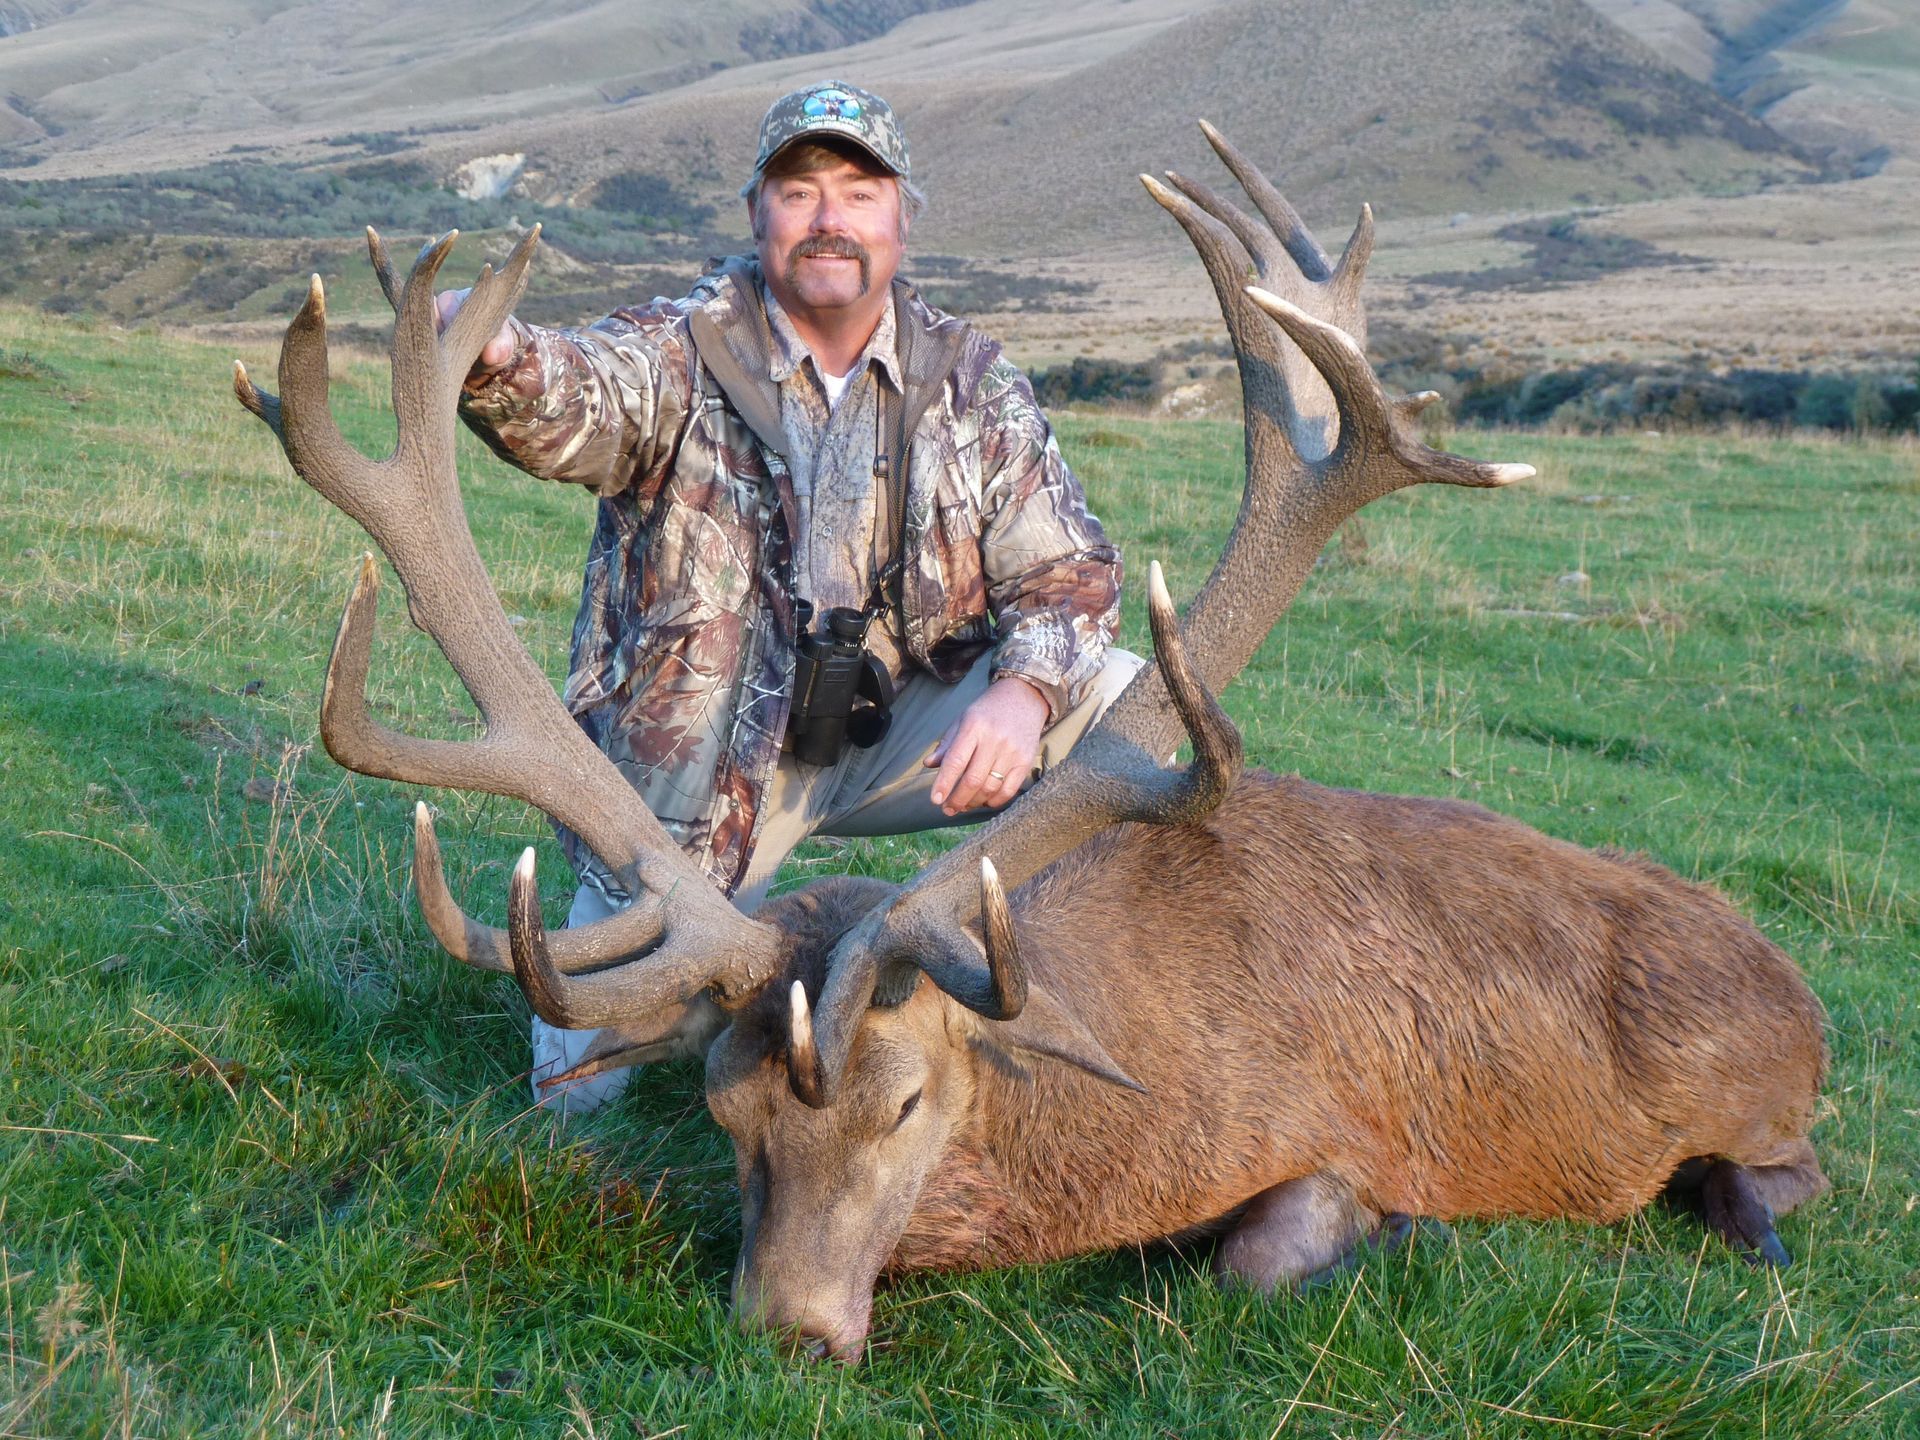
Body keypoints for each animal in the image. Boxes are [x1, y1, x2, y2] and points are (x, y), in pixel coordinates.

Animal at [233, 122, 1829, 1365]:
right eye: (723, 1109)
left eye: (909, 1099)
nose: (790, 1331)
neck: (1119, 1106)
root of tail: (1802, 988)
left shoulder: (1346, 1130)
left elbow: (1258, 1255)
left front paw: (1398, 1235)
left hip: (1755, 1083)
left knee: (1781, 1170)